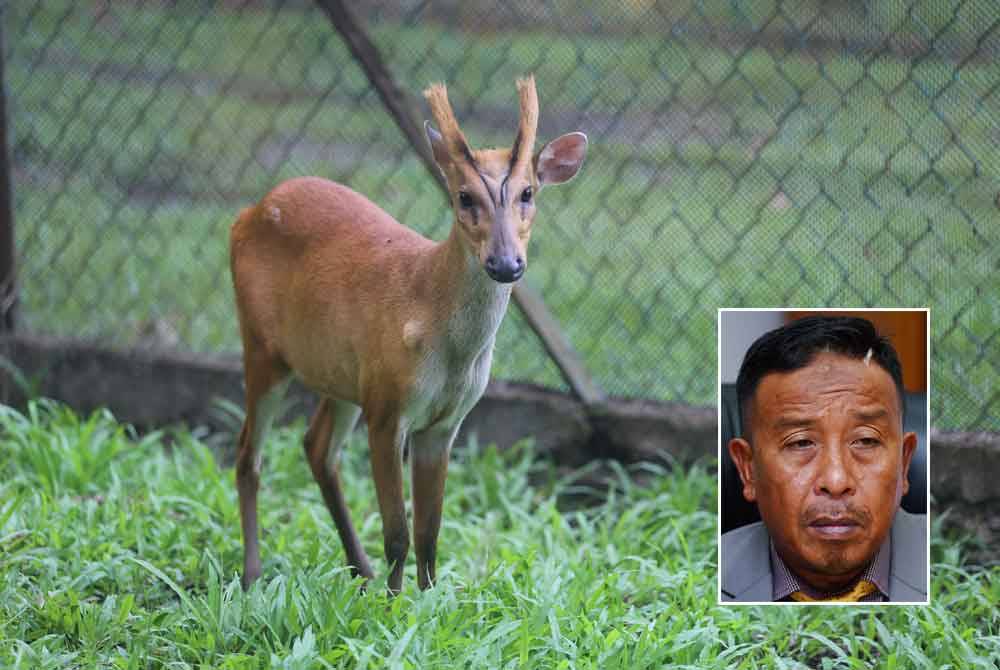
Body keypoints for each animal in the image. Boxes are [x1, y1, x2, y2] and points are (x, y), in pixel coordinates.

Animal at [229, 76, 584, 596]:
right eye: (464, 196)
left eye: (528, 192)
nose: (505, 263)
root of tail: (247, 212)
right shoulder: (388, 408)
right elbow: (397, 530)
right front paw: (392, 605)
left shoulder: (444, 422)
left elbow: (429, 531)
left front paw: (428, 599)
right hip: (262, 348)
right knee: (248, 455)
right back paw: (254, 574)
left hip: (342, 376)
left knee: (316, 448)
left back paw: (360, 569)